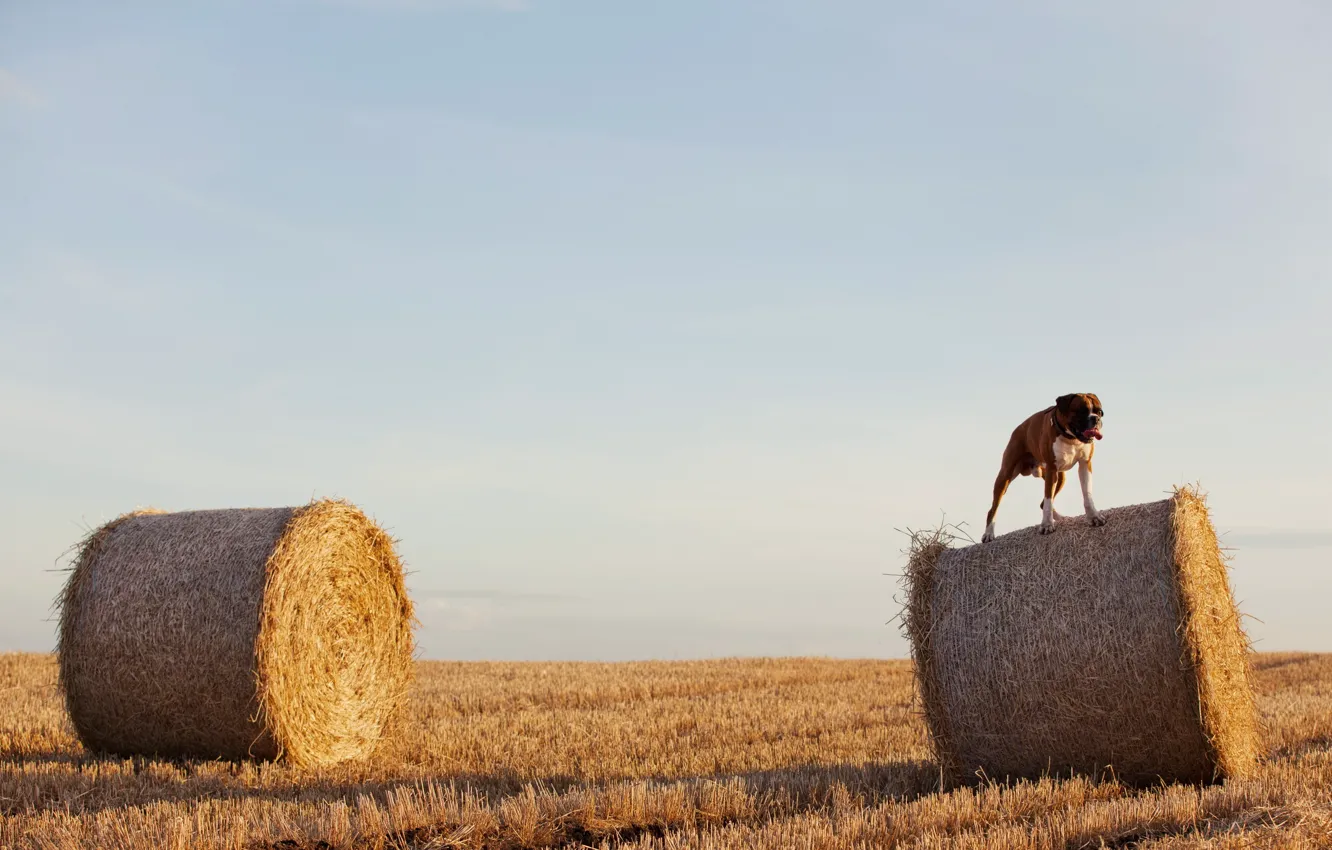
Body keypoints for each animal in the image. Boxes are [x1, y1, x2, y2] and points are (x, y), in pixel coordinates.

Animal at [985, 394, 1108, 546]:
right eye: (1081, 411)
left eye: (1100, 412)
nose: (1095, 419)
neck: (1070, 438)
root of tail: (1019, 428)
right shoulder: (1051, 469)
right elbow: (1048, 499)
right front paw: (1047, 525)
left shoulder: (1085, 465)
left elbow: (1087, 494)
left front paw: (1094, 517)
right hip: (1005, 476)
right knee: (993, 508)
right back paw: (988, 534)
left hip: (1060, 478)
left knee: (1042, 503)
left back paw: (1063, 519)